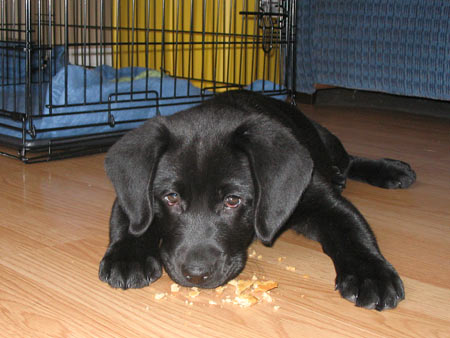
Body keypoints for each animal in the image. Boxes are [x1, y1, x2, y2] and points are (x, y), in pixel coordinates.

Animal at [98, 88, 414, 310]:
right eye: (171, 197)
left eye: (233, 201)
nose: (196, 274)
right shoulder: (134, 193)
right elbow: (132, 219)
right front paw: (128, 256)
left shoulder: (317, 197)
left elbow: (353, 230)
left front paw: (371, 274)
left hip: (326, 140)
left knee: (349, 160)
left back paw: (389, 169)